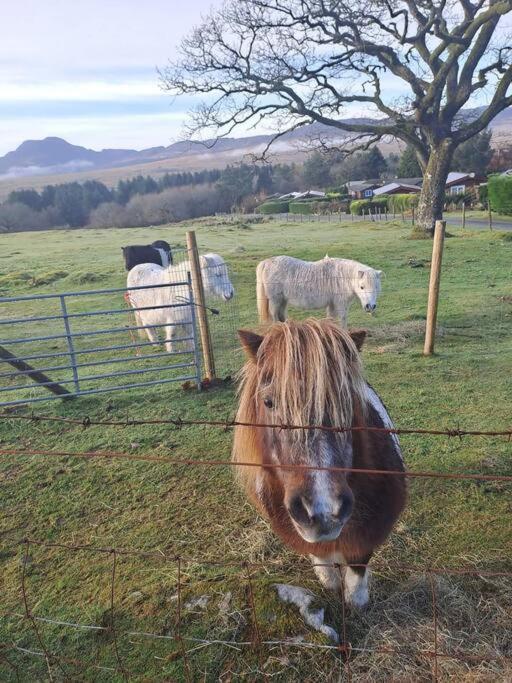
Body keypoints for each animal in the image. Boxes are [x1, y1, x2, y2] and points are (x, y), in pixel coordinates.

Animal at [234, 318, 406, 608]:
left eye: (347, 402)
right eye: (268, 402)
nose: (324, 511)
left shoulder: (368, 533)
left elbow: (357, 567)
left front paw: (357, 602)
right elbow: (321, 557)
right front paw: (330, 584)